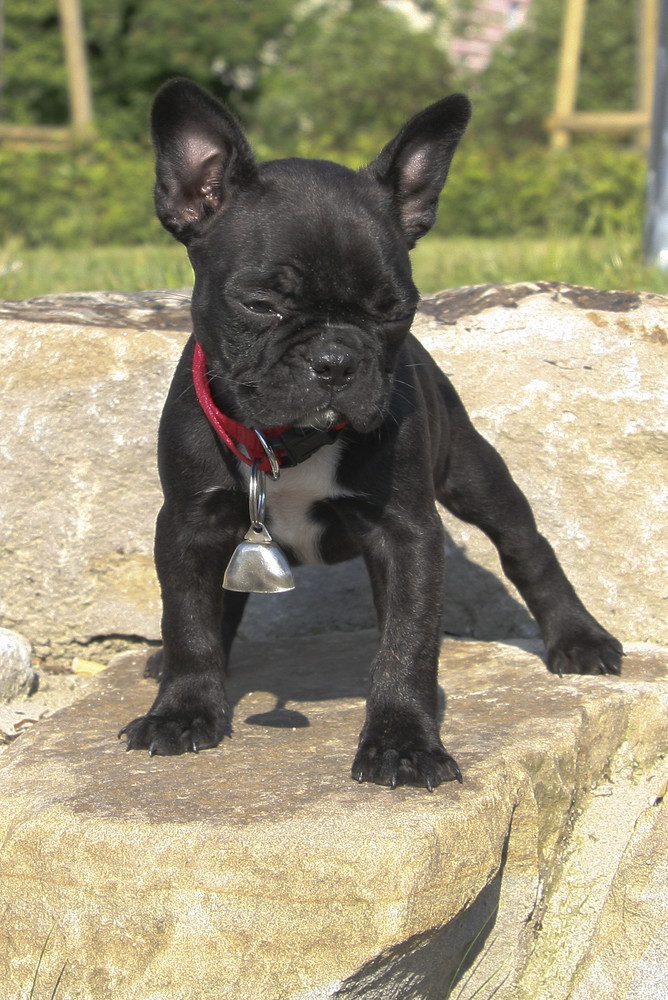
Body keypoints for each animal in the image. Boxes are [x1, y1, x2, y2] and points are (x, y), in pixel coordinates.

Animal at [118, 80, 620, 788]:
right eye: (261, 305)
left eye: (394, 310)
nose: (336, 360)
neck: (288, 442)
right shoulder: (190, 523)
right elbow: (189, 618)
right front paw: (183, 708)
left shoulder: (406, 534)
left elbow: (407, 643)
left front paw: (403, 741)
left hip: (474, 474)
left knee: (526, 547)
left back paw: (578, 637)